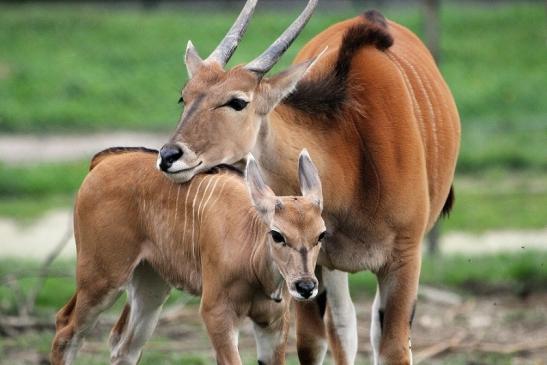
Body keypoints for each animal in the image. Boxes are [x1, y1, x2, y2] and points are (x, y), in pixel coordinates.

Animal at [158, 0, 462, 364]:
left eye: (237, 101)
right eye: (184, 97)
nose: (169, 156)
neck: (352, 153)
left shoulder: (404, 258)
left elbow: (393, 348)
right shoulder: (307, 264)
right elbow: (312, 343)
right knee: (342, 326)